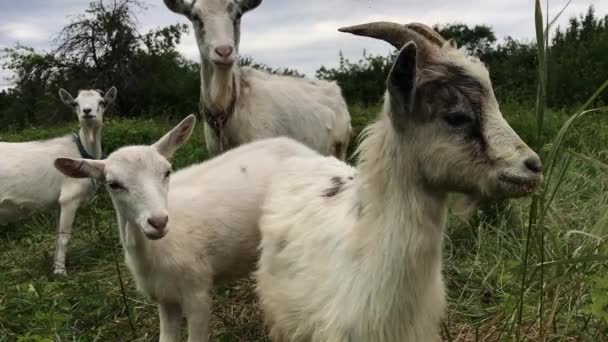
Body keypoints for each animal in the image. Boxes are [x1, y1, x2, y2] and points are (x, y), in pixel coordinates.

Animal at [0, 87, 117, 276]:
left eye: (102, 102)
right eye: (75, 103)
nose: (87, 112)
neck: (81, 152)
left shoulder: (57, 204)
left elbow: (57, 237)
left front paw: (55, 266)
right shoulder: (70, 198)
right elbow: (64, 238)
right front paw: (60, 273)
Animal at [54, 115, 318, 342]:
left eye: (166, 172)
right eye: (113, 184)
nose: (158, 222)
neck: (154, 253)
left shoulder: (197, 293)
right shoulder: (164, 298)